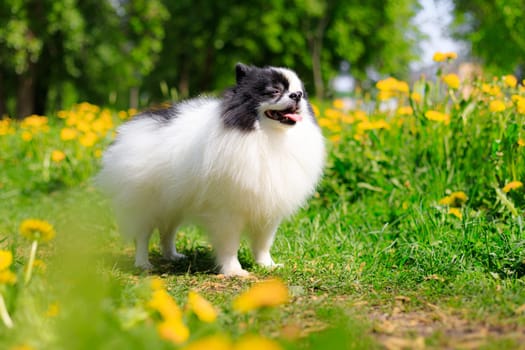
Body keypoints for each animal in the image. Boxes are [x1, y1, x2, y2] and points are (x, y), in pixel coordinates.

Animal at [95, 63, 322, 276]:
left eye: (301, 92)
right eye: (274, 91)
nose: (296, 96)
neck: (267, 137)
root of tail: (132, 128)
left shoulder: (268, 208)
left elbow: (263, 243)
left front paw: (267, 265)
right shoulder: (226, 211)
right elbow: (229, 245)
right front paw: (234, 271)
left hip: (173, 203)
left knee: (167, 231)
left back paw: (172, 256)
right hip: (147, 204)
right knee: (143, 235)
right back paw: (143, 263)